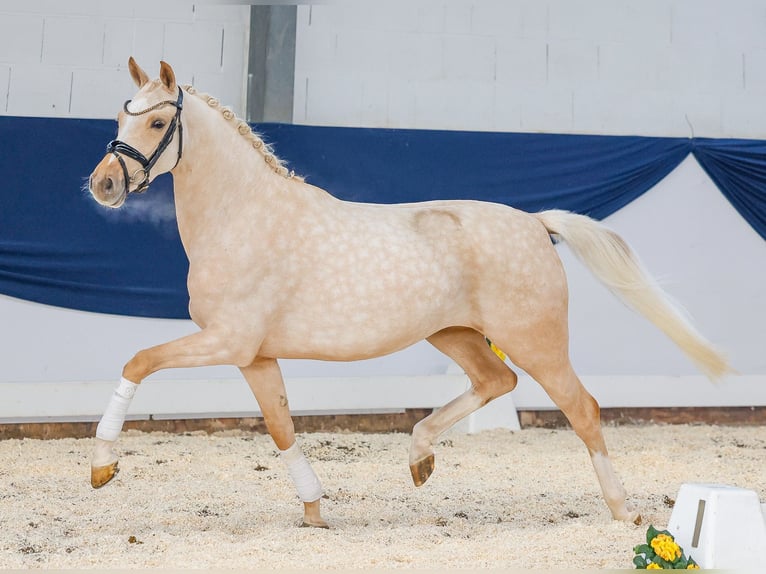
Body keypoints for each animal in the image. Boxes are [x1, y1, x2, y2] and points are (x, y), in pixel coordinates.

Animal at [87, 59, 728, 532]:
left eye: (155, 124)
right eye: (119, 115)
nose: (104, 184)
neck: (243, 217)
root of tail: (534, 223)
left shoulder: (226, 341)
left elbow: (137, 361)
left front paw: (101, 467)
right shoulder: (255, 355)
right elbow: (281, 428)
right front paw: (315, 513)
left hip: (536, 341)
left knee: (583, 408)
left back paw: (625, 512)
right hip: (455, 334)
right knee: (496, 382)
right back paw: (419, 458)